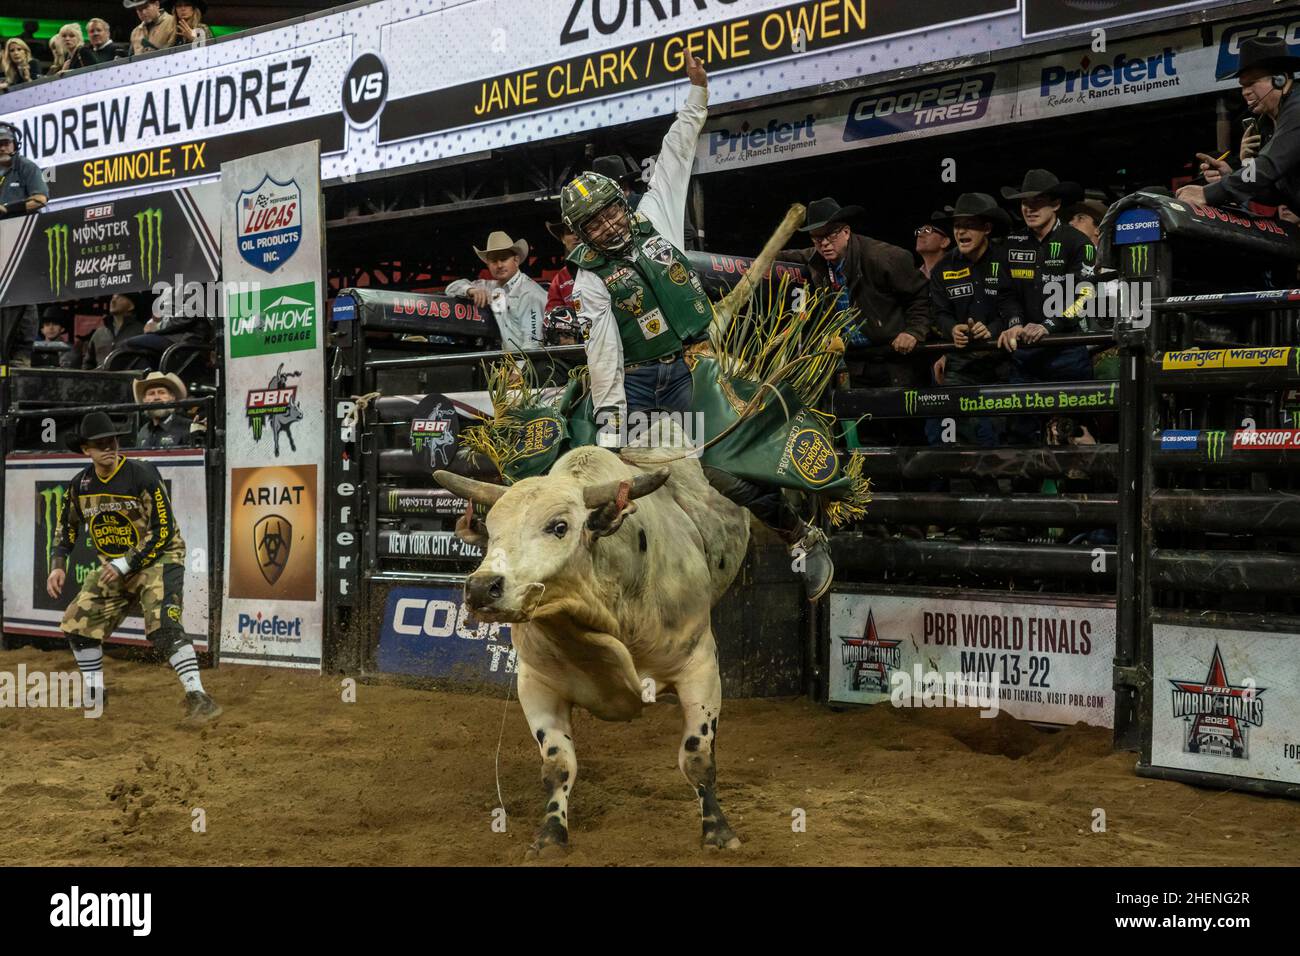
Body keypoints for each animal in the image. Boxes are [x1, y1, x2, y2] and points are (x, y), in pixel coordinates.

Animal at [434, 434, 748, 853]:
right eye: (492, 531)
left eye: (559, 526)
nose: (482, 587)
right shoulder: (537, 683)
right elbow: (558, 765)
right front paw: (551, 834)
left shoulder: (699, 667)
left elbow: (697, 757)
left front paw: (718, 831)